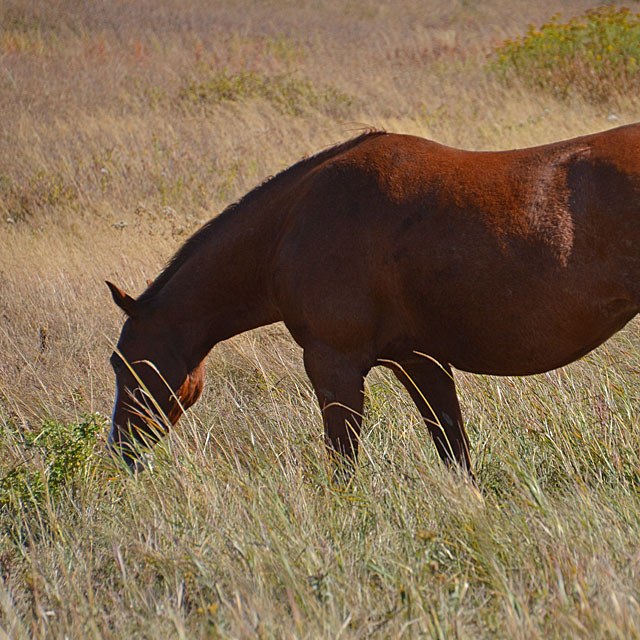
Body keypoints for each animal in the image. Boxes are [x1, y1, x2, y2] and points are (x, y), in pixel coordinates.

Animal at [107, 126, 640, 476]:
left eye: (123, 363)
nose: (120, 451)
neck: (290, 227)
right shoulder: (420, 362)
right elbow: (455, 456)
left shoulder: (334, 363)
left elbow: (342, 466)